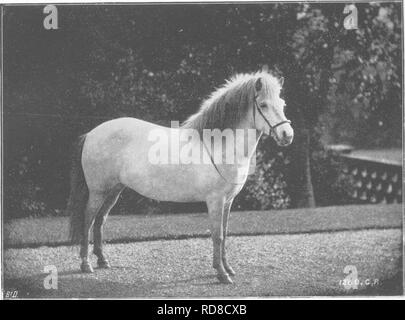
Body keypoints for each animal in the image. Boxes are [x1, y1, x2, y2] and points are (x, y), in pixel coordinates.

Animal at [68, 71, 292, 284]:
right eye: (263, 105)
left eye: (282, 104)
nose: (287, 135)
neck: (219, 145)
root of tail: (91, 134)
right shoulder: (216, 201)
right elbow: (217, 236)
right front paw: (221, 274)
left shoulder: (228, 201)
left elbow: (225, 233)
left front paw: (227, 269)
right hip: (98, 191)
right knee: (88, 220)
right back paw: (86, 264)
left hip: (114, 190)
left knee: (100, 220)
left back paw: (102, 261)